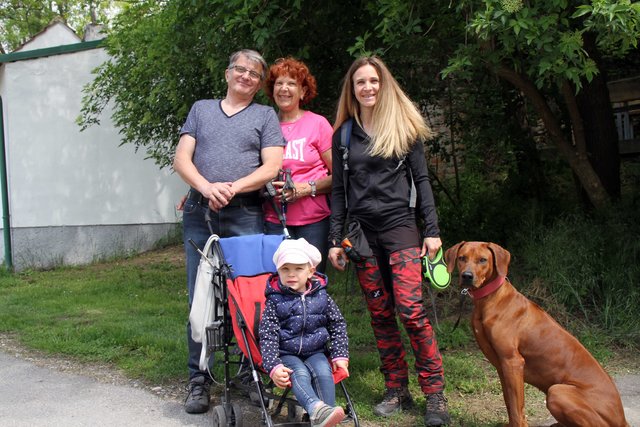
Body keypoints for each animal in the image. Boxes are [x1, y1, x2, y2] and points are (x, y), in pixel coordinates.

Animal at [442, 242, 628, 426]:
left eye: (482, 260)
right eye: (462, 258)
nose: (467, 276)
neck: (491, 299)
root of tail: (622, 418)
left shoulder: (513, 362)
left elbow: (517, 409)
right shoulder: (502, 366)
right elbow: (509, 404)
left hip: (557, 392)